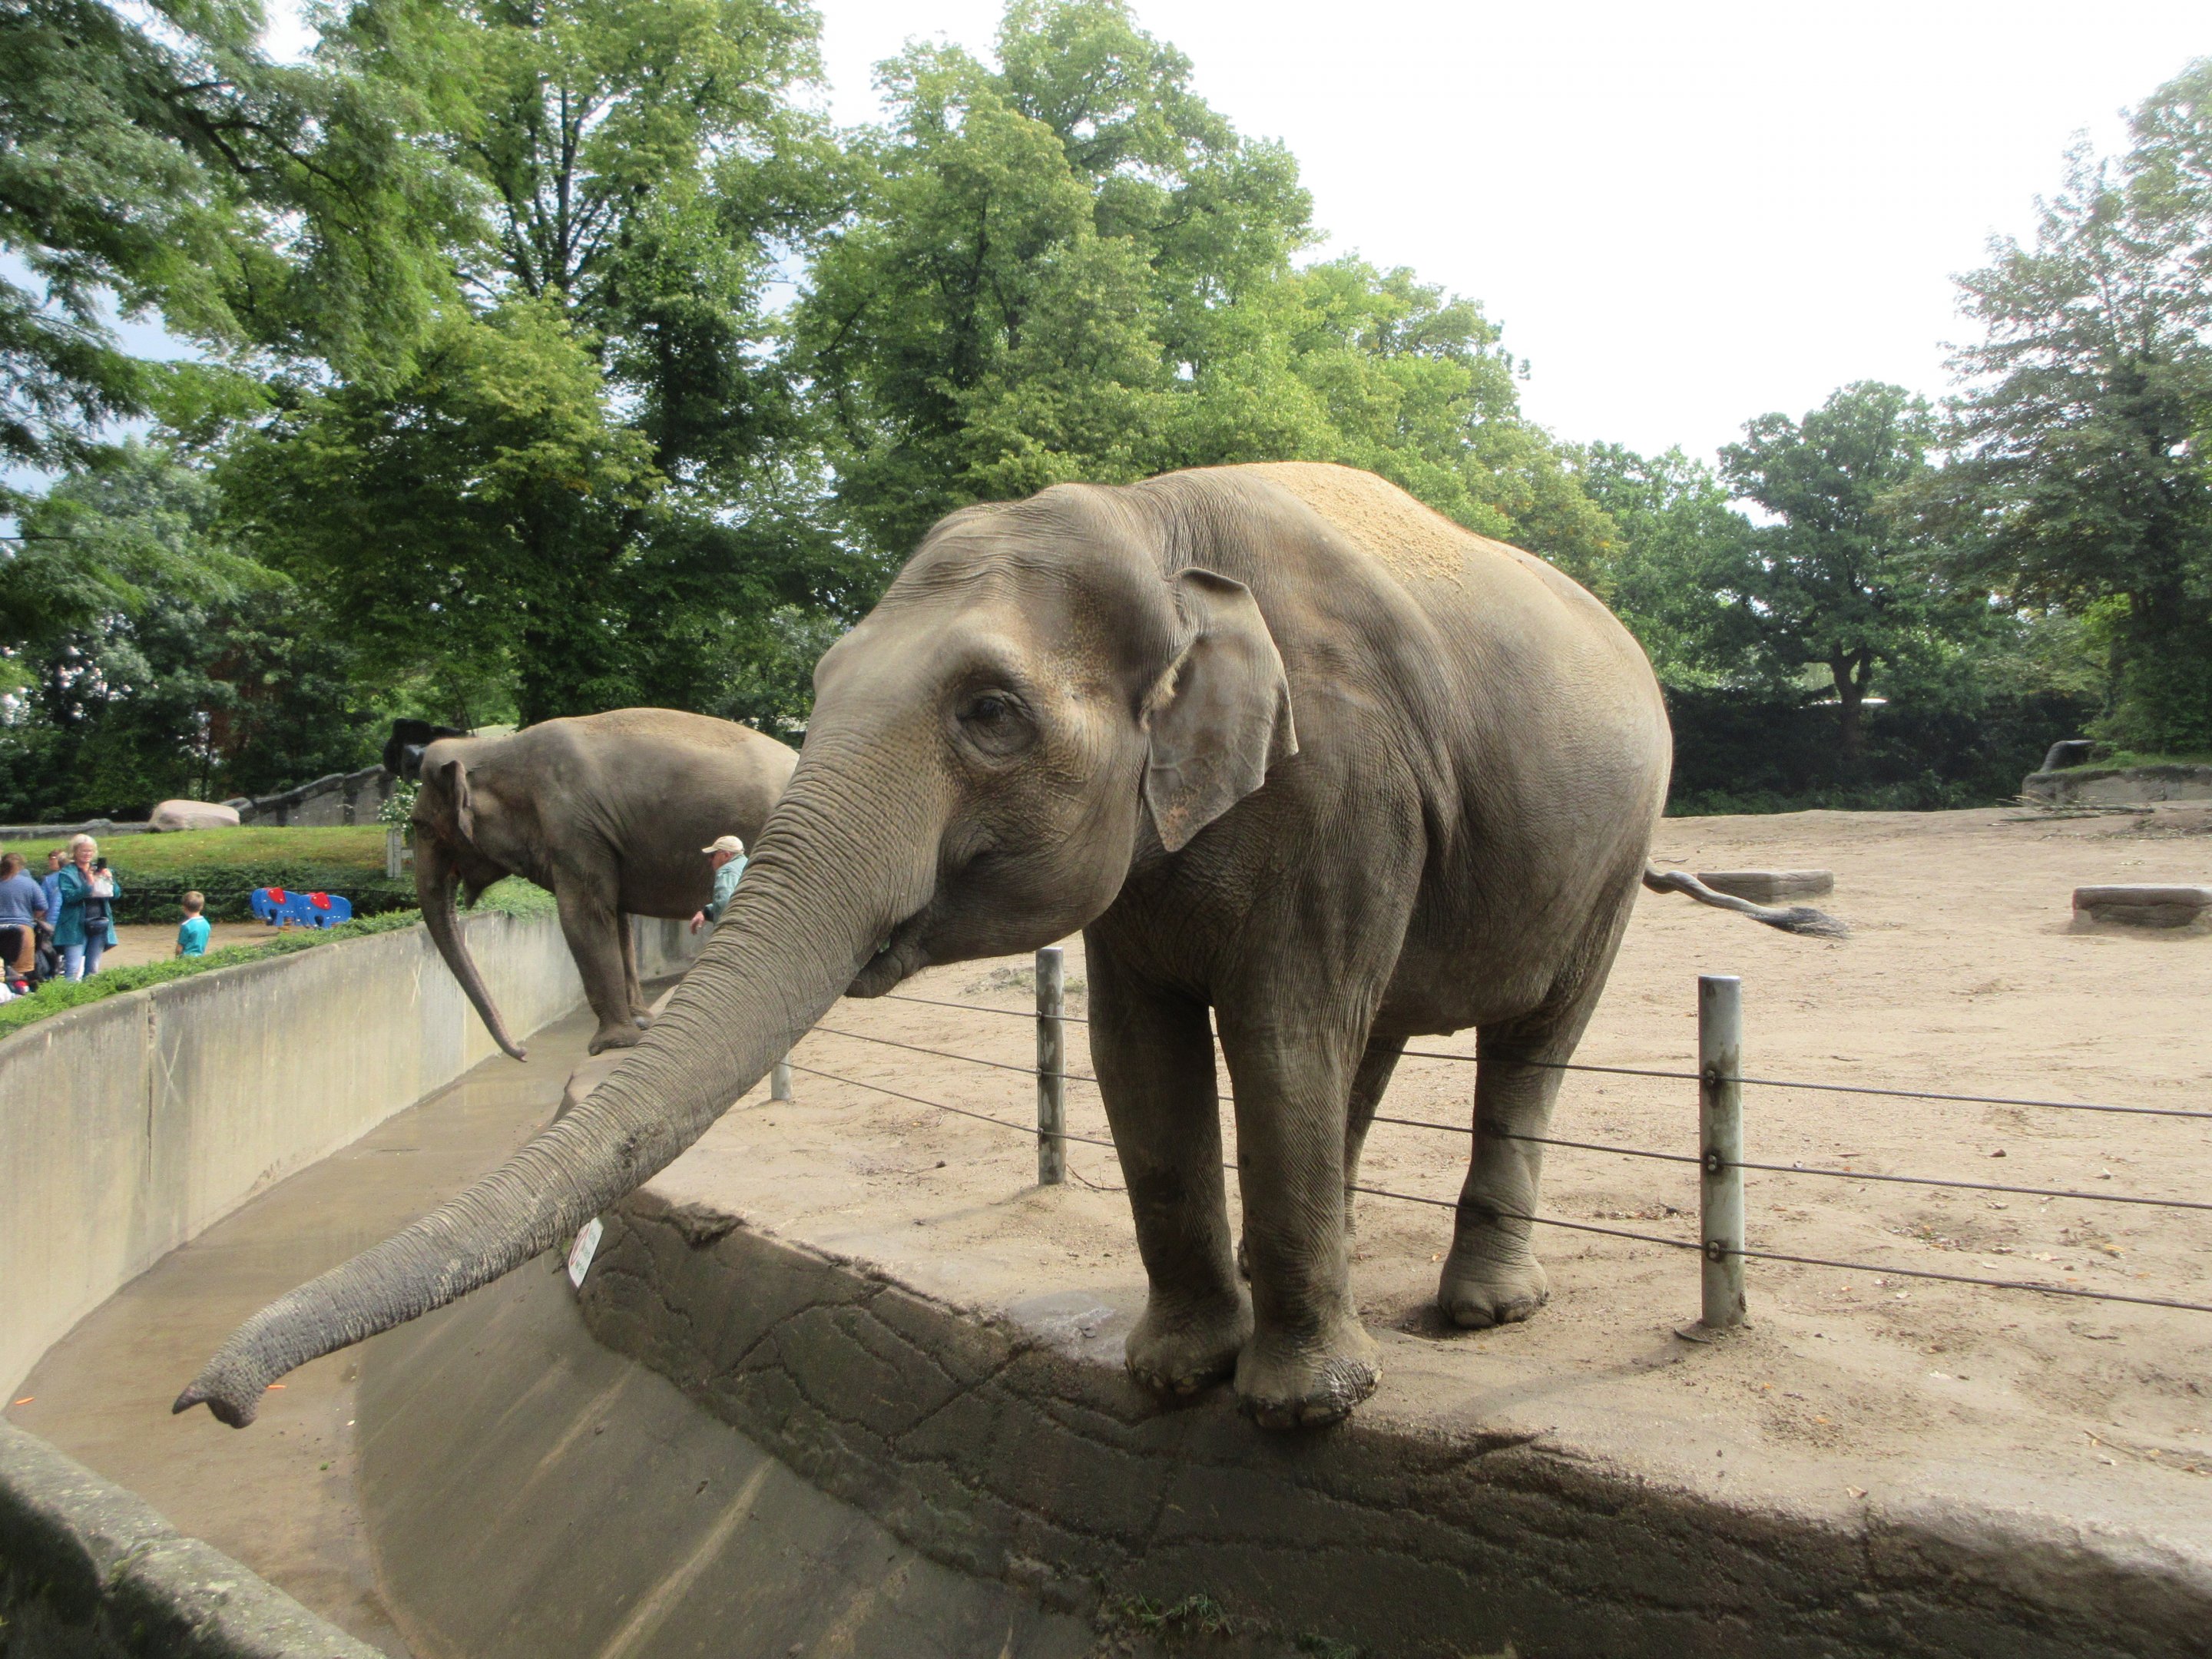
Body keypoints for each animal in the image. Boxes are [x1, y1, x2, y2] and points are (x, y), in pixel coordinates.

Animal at [407, 709, 797, 1059]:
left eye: (420, 826)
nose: (523, 1053)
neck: (494, 749)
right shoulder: (599, 837)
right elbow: (616, 917)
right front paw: (641, 1024)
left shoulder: (572, 827)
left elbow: (583, 917)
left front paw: (609, 1045)